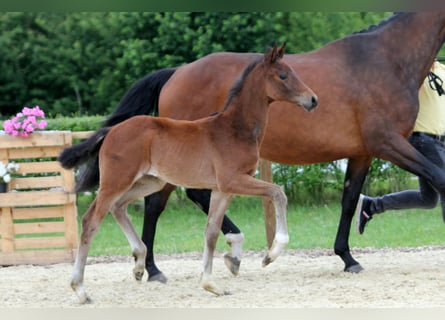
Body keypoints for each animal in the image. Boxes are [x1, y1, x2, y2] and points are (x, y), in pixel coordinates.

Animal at [59, 44, 318, 302]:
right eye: (283, 75)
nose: (313, 99)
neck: (235, 129)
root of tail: (111, 131)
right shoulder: (234, 180)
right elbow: (278, 193)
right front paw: (271, 254)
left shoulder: (222, 189)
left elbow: (211, 232)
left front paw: (211, 284)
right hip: (115, 182)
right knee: (91, 221)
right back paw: (80, 289)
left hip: (149, 182)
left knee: (118, 207)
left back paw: (139, 263)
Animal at [75, 12, 444, 280]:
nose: (312, 100)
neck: (386, 60)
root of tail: (177, 72)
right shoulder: (389, 143)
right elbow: (439, 178)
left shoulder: (363, 152)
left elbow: (350, 199)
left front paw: (347, 256)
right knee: (157, 204)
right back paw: (153, 268)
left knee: (186, 197)